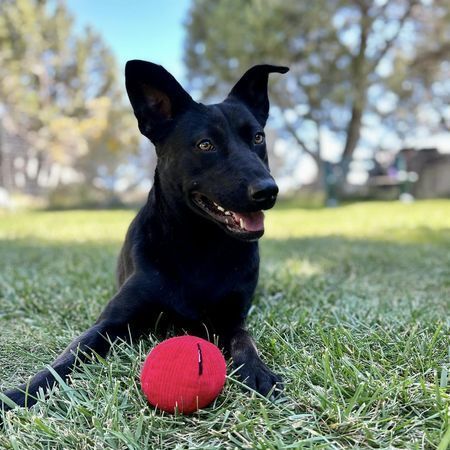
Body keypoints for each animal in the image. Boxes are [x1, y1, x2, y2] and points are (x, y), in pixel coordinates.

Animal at [0, 59, 288, 412]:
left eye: (258, 138)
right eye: (206, 144)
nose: (268, 191)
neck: (199, 247)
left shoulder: (231, 319)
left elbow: (244, 340)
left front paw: (257, 370)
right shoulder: (109, 324)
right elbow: (67, 357)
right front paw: (21, 393)